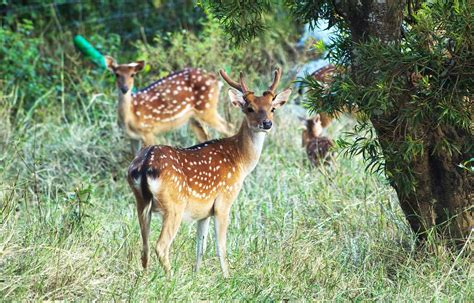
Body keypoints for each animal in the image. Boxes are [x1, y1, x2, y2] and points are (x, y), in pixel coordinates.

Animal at [126, 67, 290, 276]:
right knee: (161, 246)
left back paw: (146, 277)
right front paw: (227, 277)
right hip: (174, 205)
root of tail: (146, 164)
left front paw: (196, 275)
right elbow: (221, 246)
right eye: (249, 108)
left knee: (144, 246)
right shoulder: (224, 200)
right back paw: (171, 277)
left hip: (140, 203)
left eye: (272, 108)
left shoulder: (204, 212)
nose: (267, 123)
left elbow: (200, 247)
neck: (240, 161)